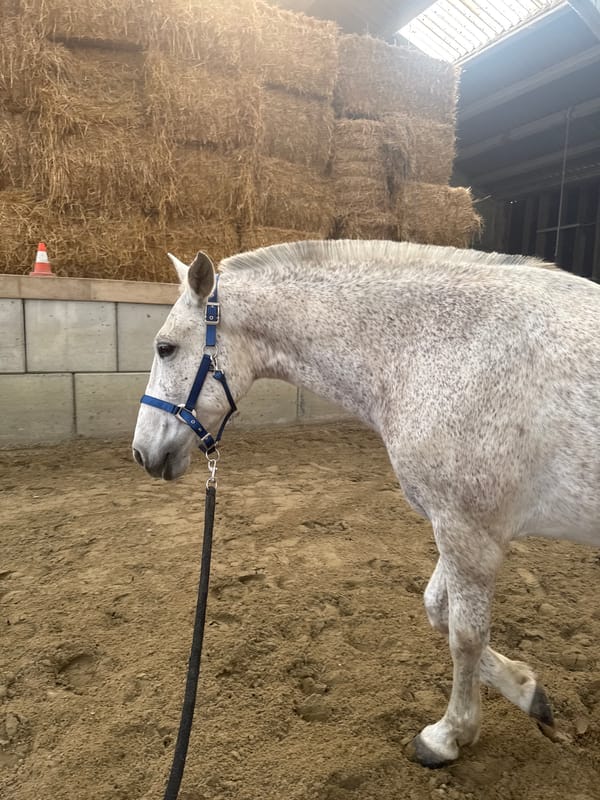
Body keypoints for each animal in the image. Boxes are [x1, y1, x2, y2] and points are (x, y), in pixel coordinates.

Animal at [132, 239, 600, 768]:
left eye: (165, 347)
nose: (142, 452)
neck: (445, 350)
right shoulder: (458, 528)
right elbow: (438, 610)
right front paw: (527, 690)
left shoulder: (468, 532)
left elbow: (465, 635)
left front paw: (448, 735)